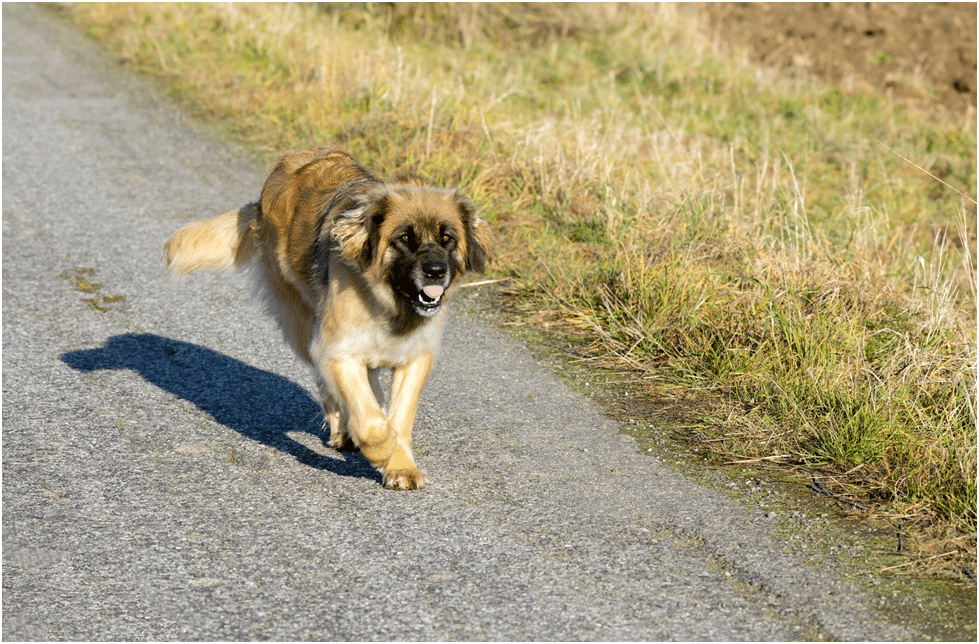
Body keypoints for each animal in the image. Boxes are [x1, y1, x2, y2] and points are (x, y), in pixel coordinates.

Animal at [166, 146, 498, 488]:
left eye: (448, 239)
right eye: (405, 238)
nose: (435, 270)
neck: (388, 304)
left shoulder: (414, 358)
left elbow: (401, 415)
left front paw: (401, 466)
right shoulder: (338, 352)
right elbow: (371, 422)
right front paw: (383, 449)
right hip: (301, 324)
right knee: (329, 385)